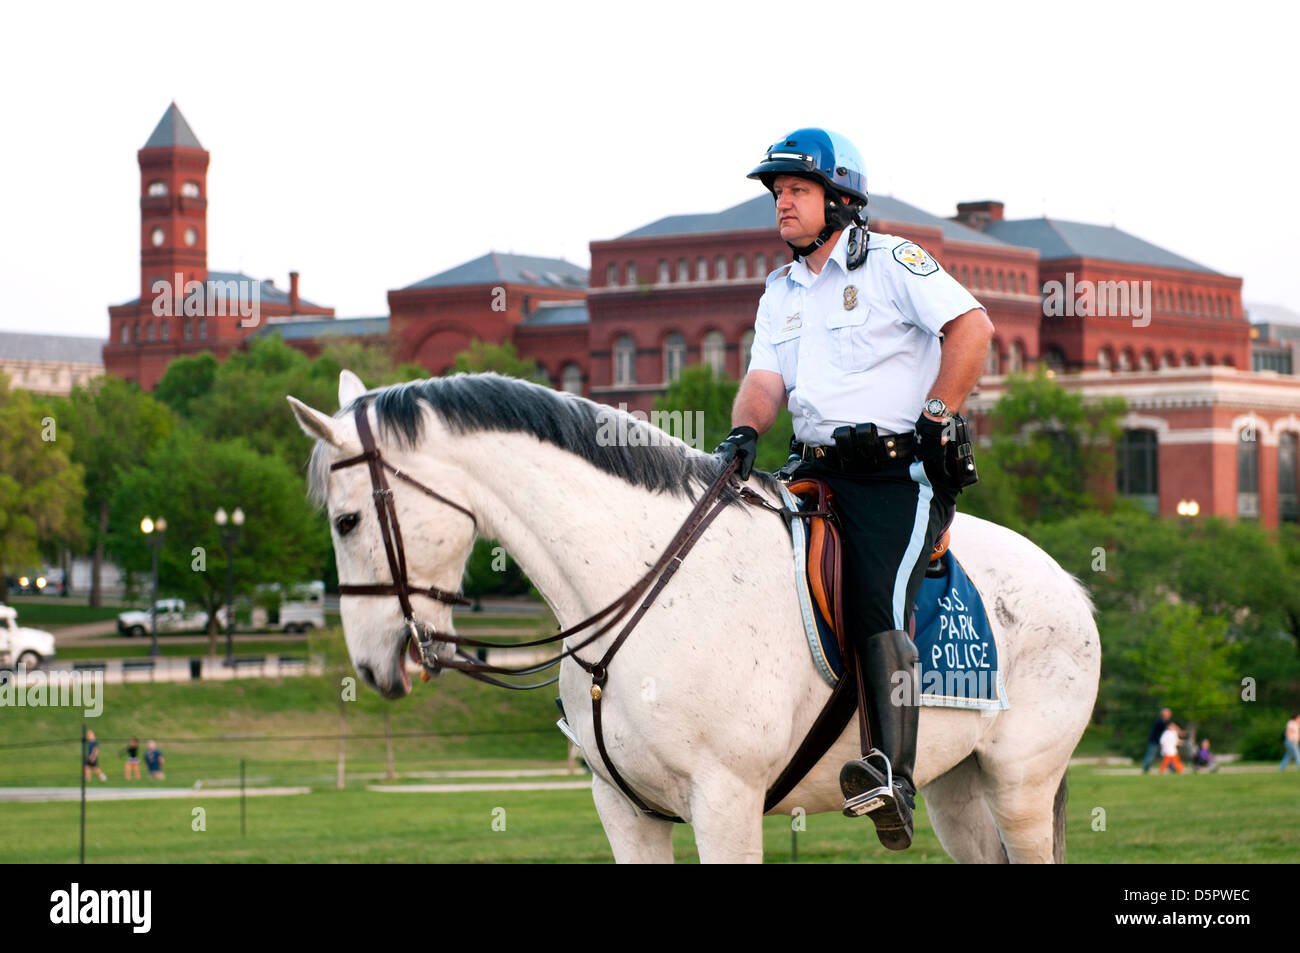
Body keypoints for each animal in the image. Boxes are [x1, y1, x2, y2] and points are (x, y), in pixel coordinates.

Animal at [288, 370, 1101, 864]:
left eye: (348, 520)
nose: (377, 663)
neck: (647, 583)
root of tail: (1067, 583)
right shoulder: (628, 813)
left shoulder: (725, 804)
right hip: (955, 784)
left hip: (1019, 786)